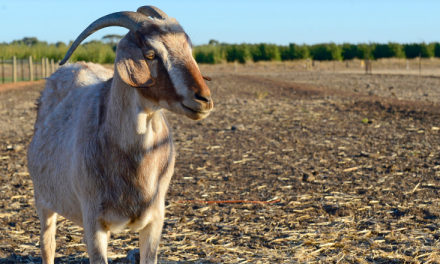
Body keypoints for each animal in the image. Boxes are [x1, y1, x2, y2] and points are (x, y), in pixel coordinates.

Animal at [27, 6, 213, 264]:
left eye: (189, 49)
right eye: (151, 54)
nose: (204, 99)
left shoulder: (155, 220)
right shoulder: (93, 222)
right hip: (43, 200)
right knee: (48, 245)